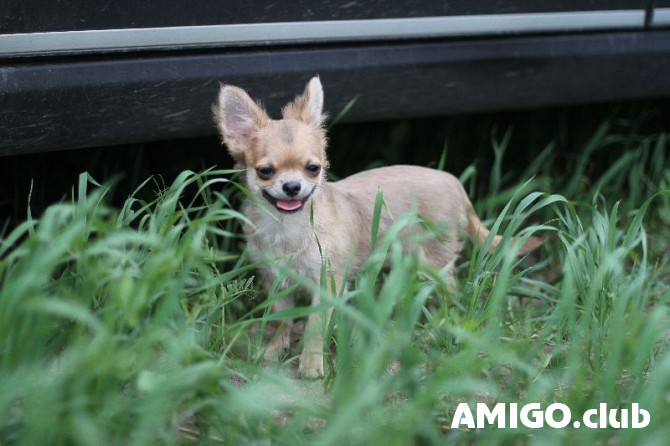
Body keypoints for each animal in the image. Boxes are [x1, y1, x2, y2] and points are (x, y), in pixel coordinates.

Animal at [215, 78, 544, 378]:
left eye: (313, 168)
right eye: (265, 171)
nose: (293, 187)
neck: (287, 227)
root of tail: (454, 182)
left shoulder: (328, 282)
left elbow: (314, 326)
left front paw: (311, 366)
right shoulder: (276, 280)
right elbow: (281, 318)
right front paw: (272, 351)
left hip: (434, 260)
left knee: (450, 294)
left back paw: (437, 328)